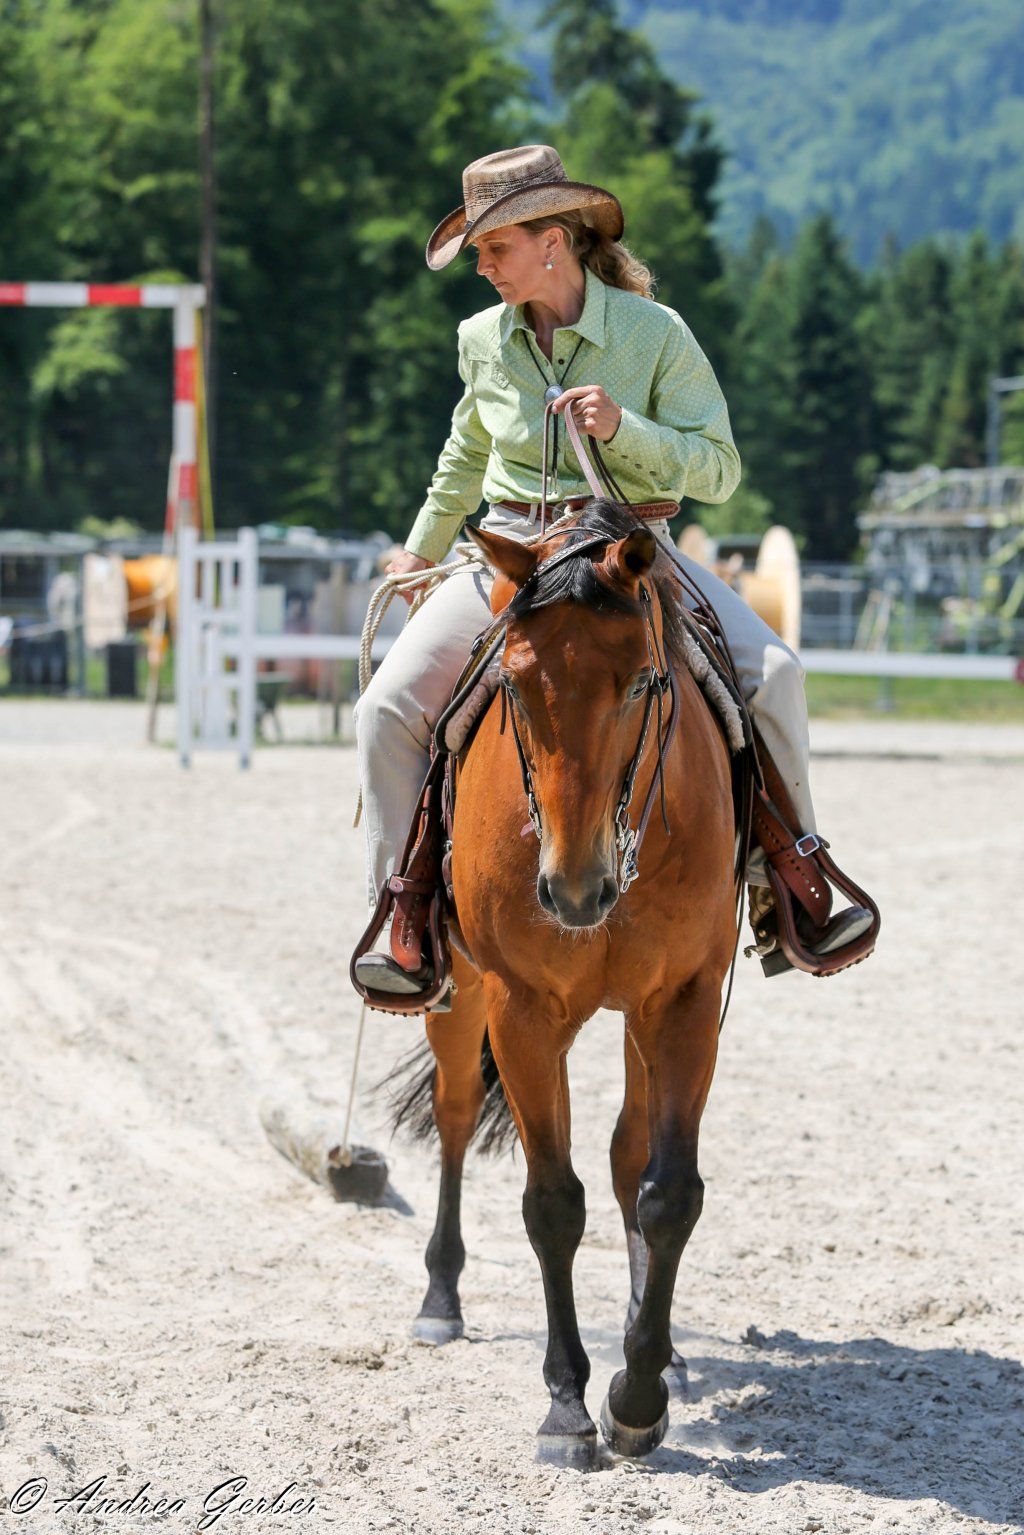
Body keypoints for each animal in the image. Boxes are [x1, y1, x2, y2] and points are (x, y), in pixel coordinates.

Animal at [387, 498, 739, 1467]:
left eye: (643, 682)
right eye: (513, 686)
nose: (574, 889)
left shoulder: (685, 1000)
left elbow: (666, 1192)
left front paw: (639, 1393)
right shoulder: (525, 1011)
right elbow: (551, 1203)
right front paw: (568, 1404)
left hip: (634, 1019)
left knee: (626, 1154)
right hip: (462, 998)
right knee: (457, 1112)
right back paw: (440, 1298)